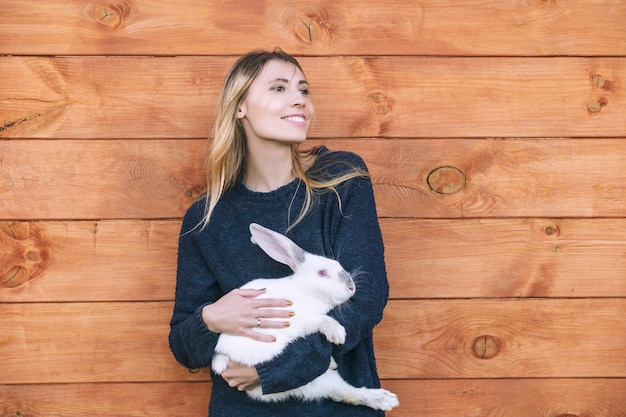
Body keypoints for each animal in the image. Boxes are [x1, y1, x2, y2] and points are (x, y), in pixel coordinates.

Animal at [210, 221, 394, 410]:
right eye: (322, 273)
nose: (352, 287)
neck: (306, 292)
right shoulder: (296, 320)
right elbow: (321, 320)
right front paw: (338, 335)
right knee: (343, 391)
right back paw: (383, 399)